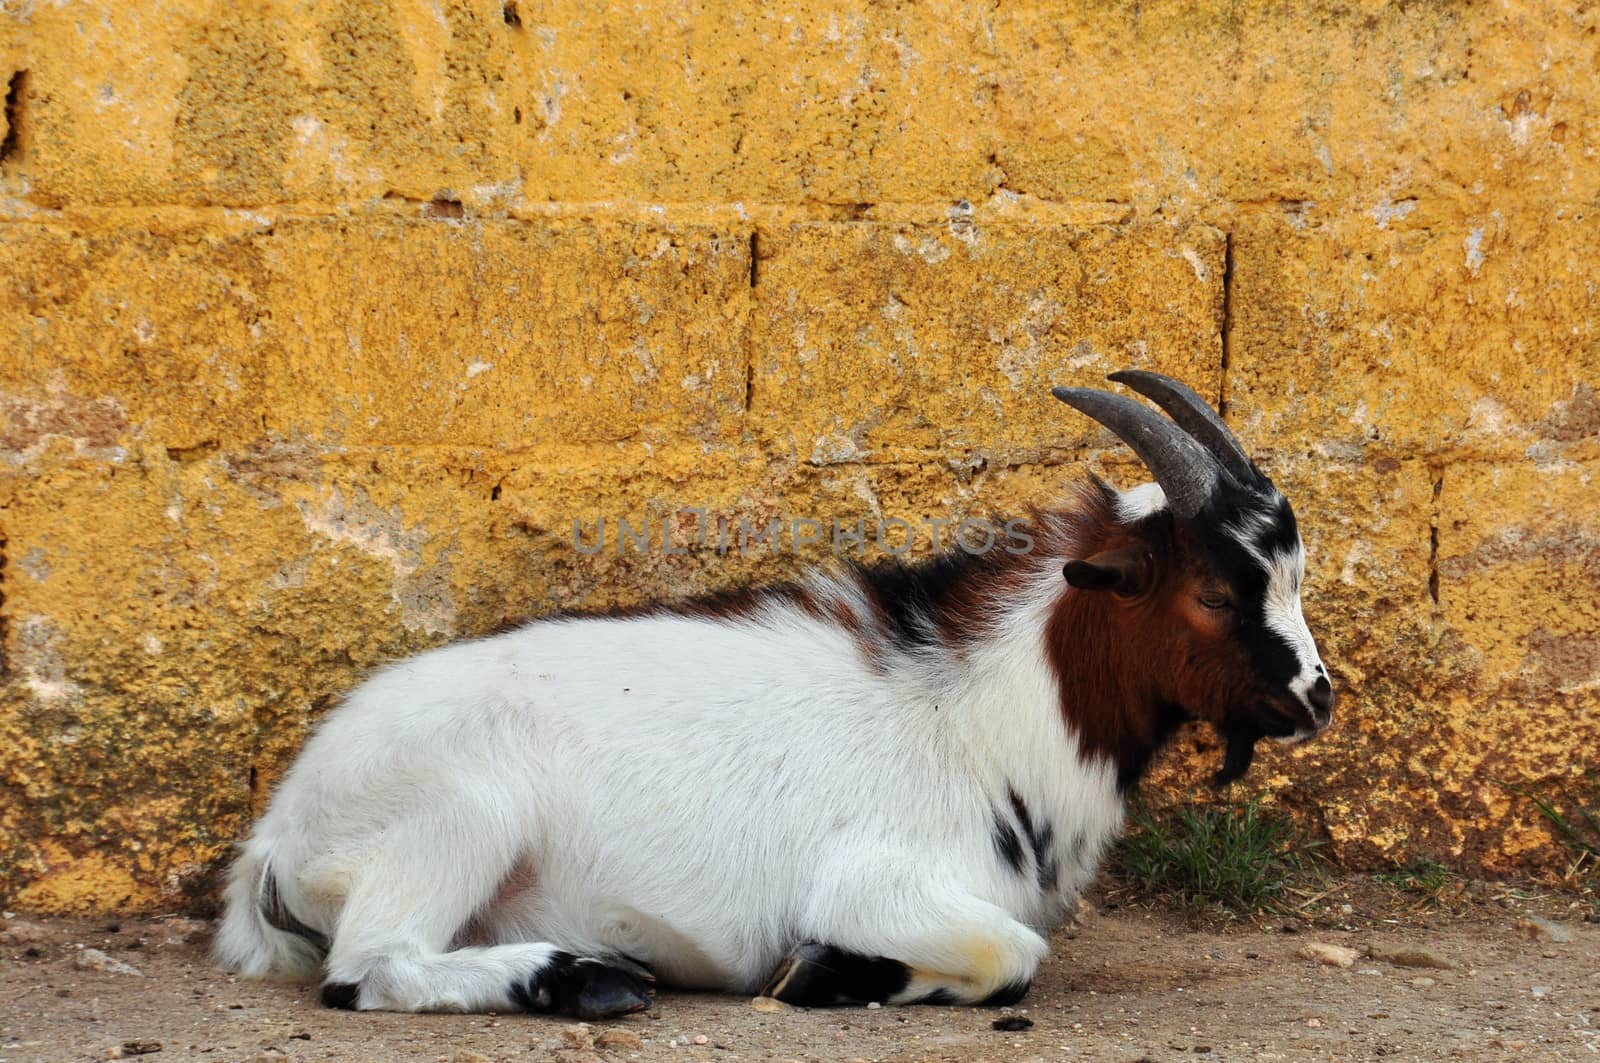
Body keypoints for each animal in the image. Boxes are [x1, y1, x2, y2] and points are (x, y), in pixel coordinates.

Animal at [216, 369, 1337, 1018]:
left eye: (1292, 575)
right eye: (1216, 591)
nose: (1320, 697)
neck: (973, 712)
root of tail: (279, 831)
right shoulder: (877, 882)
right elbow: (1014, 951)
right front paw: (826, 973)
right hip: (456, 816)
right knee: (369, 967)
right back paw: (584, 977)